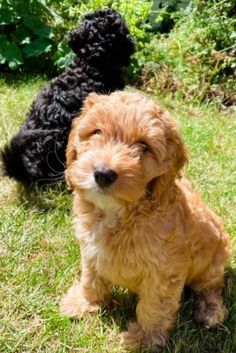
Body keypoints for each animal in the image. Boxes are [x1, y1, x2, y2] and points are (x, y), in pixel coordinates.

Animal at [60, 90, 231, 350]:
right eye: (97, 132)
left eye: (144, 146)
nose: (103, 174)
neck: (118, 212)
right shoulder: (89, 248)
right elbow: (91, 278)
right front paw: (84, 303)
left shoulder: (163, 271)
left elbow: (154, 306)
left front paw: (143, 339)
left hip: (213, 260)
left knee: (211, 287)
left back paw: (211, 312)